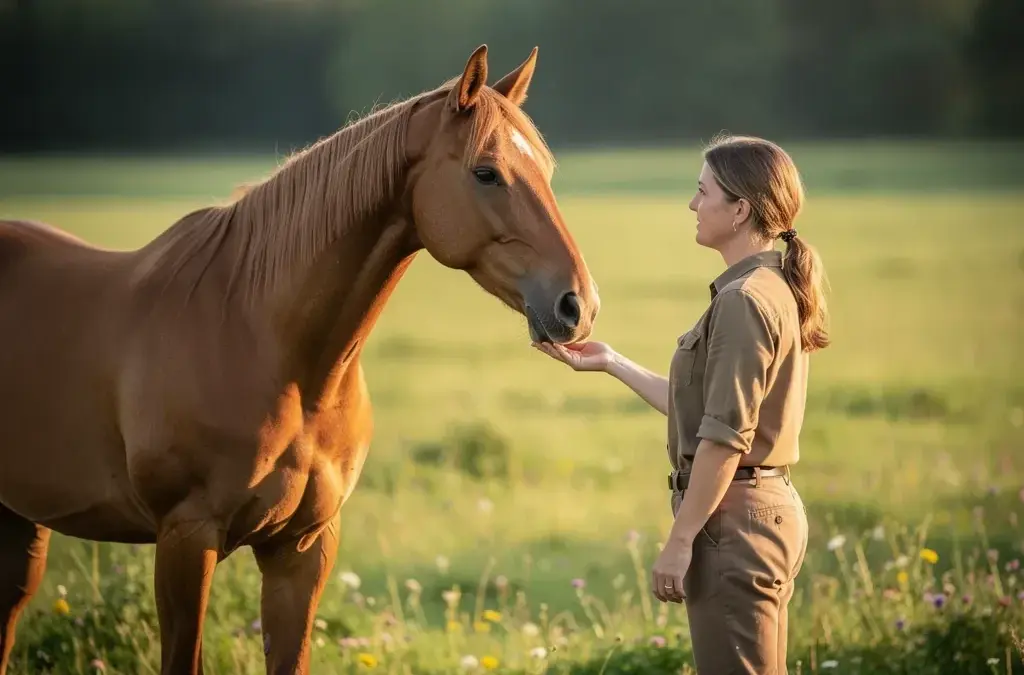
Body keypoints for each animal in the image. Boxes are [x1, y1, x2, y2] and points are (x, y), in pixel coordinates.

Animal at [0, 44, 600, 675]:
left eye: (547, 173)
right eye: (486, 172)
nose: (579, 305)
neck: (268, 347)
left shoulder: (304, 546)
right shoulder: (186, 538)